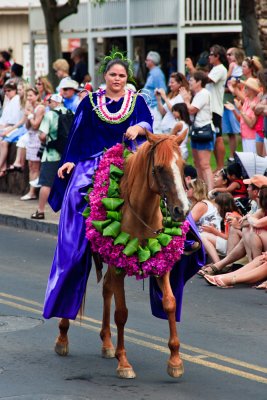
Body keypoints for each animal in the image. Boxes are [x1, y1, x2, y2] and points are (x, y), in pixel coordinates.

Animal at [55, 132, 192, 382]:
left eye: (182, 165)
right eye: (159, 168)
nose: (182, 210)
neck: (142, 213)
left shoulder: (161, 261)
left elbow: (169, 303)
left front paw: (175, 361)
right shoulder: (118, 264)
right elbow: (121, 313)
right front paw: (124, 363)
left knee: (106, 289)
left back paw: (107, 343)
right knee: (71, 287)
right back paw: (63, 338)